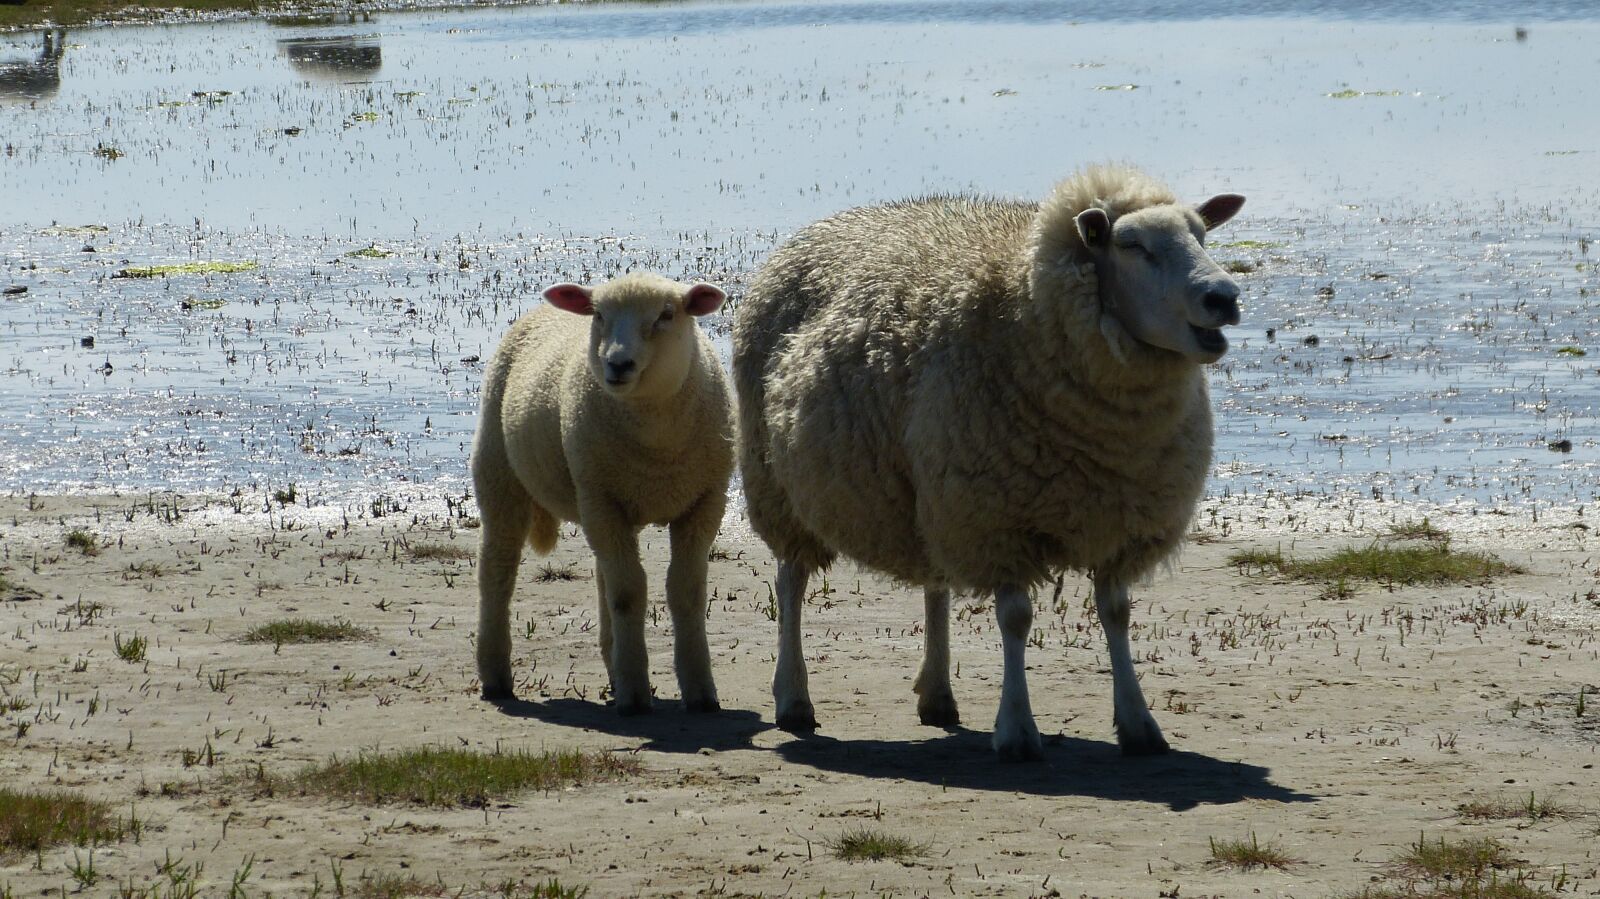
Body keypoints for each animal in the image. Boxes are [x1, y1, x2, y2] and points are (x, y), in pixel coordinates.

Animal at [473, 271, 735, 715]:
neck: (658, 444)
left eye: (667, 315)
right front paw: (635, 696)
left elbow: (685, 592)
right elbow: (629, 593)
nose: (617, 364)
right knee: (498, 570)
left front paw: (700, 691)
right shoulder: (602, 500)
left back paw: (613, 665)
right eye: (598, 315)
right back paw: (496, 676)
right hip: (500, 472)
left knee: (603, 575)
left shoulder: (704, 503)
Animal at [731, 165, 1245, 760]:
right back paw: (794, 698)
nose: (1224, 297)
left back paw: (937, 695)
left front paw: (1139, 723)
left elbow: (1116, 613)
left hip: (931, 489)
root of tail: (814, 231)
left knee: (934, 579)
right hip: (780, 485)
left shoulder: (1120, 522)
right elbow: (1016, 619)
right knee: (791, 580)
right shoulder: (998, 519)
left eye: (1202, 235)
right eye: (1133, 246)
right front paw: (1017, 729)